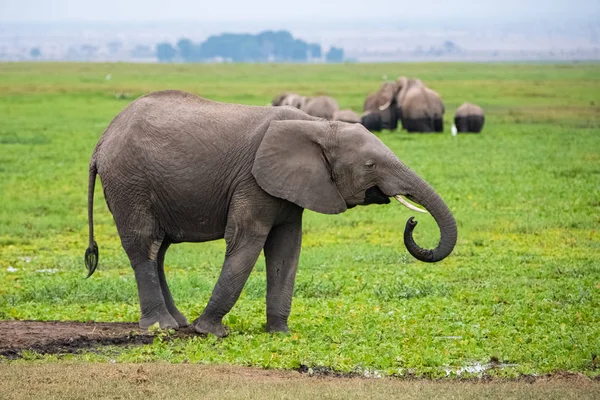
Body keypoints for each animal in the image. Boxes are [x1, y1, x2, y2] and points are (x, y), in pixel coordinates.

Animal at [84, 90, 458, 338]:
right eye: (370, 165)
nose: (413, 220)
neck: (320, 125)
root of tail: (101, 141)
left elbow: (286, 249)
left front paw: (280, 333)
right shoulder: (253, 180)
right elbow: (247, 240)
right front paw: (210, 332)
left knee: (159, 250)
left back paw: (178, 323)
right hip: (129, 181)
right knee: (145, 244)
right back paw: (163, 326)